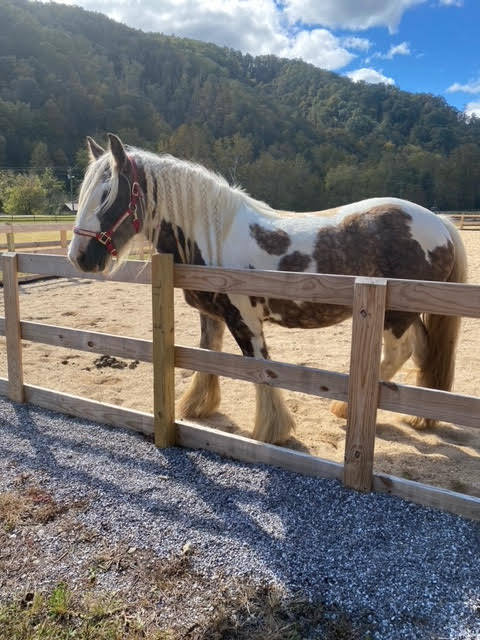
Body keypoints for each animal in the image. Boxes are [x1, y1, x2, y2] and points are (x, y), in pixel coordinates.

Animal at [68, 133, 467, 445]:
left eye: (108, 194)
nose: (79, 257)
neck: (212, 235)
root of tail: (440, 222)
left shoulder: (245, 319)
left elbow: (259, 369)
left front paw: (272, 431)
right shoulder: (212, 315)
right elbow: (207, 356)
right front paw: (198, 406)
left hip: (395, 316)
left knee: (400, 352)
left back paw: (345, 407)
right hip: (408, 313)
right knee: (423, 351)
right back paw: (420, 417)